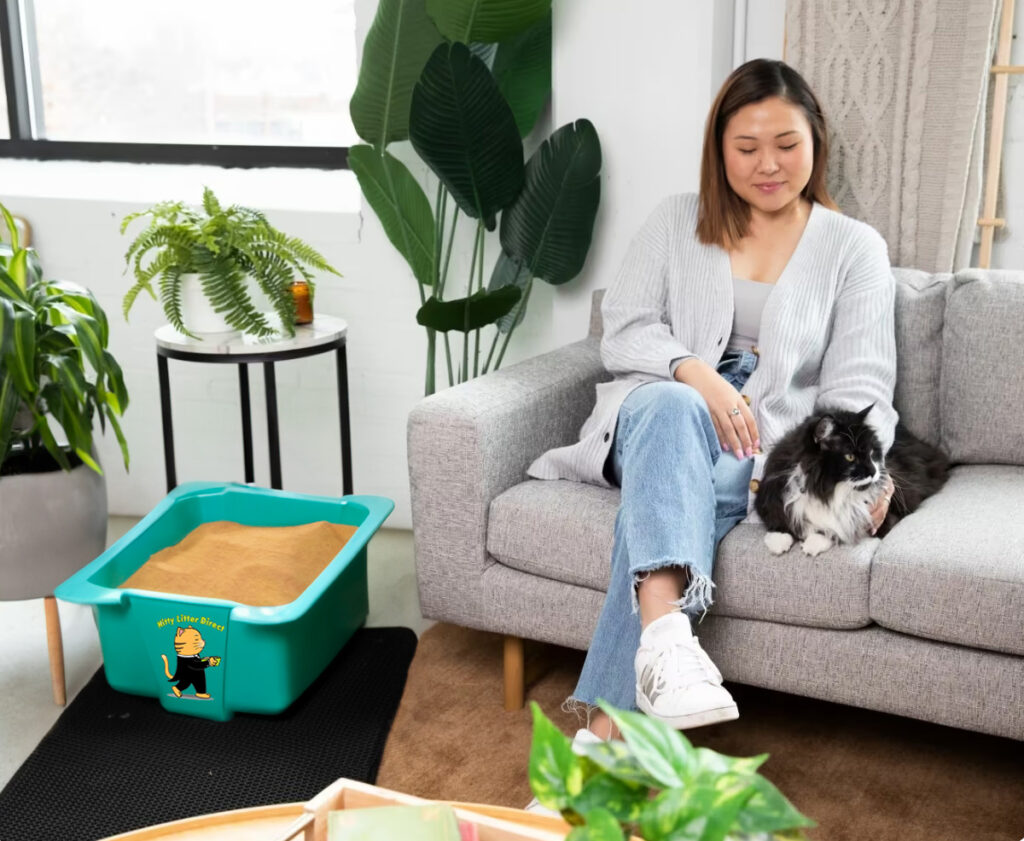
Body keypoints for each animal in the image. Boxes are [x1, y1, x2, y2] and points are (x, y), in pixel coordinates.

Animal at [753, 403, 950, 553]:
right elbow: (780, 518)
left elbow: (837, 527)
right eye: (850, 457)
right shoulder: (773, 494)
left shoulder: (881, 519)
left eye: (871, 453)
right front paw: (778, 540)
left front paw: (813, 543)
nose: (873, 471)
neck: (823, 492)